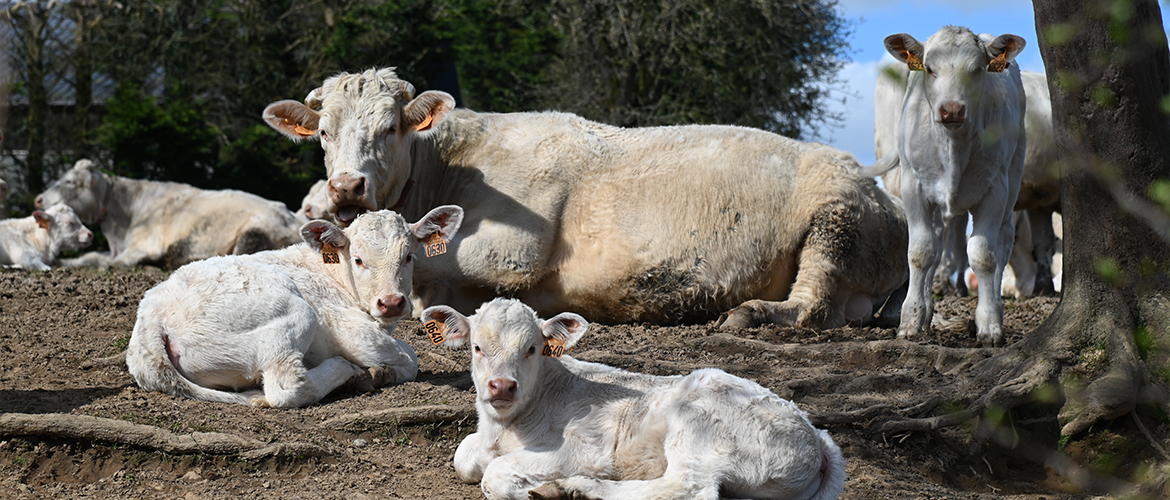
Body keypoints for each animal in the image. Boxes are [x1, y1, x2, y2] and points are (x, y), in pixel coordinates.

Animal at [36, 159, 304, 269]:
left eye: (69, 181)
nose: (38, 199)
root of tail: (294, 216)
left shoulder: (142, 246)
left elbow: (109, 263)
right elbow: (90, 256)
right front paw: (61, 262)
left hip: (252, 235)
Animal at [125, 206, 463, 408]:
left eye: (408, 256)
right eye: (358, 259)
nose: (391, 302)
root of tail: (151, 314)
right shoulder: (351, 330)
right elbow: (409, 357)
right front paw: (381, 372)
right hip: (295, 314)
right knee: (288, 387)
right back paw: (349, 373)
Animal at [263, 68, 909, 329]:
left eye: (392, 128)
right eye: (323, 134)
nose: (346, 187)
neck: (449, 166)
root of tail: (877, 188)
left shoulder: (515, 249)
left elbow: (433, 261)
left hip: (835, 220)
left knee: (814, 303)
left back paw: (752, 313)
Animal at [422, 298, 846, 500]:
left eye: (531, 349)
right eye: (477, 347)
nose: (502, 386)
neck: (506, 428)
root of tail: (817, 436)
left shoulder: (583, 449)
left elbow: (494, 475)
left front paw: (533, 486)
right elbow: (464, 456)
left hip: (700, 422)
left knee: (688, 488)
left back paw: (578, 489)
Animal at [874, 26, 1027, 347]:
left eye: (978, 69)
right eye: (930, 69)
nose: (952, 110)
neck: (953, 146)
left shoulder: (995, 189)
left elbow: (983, 255)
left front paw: (989, 325)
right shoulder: (913, 186)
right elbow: (921, 252)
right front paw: (910, 320)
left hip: (1014, 173)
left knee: (1004, 240)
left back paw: (996, 307)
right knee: (937, 240)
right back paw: (926, 311)